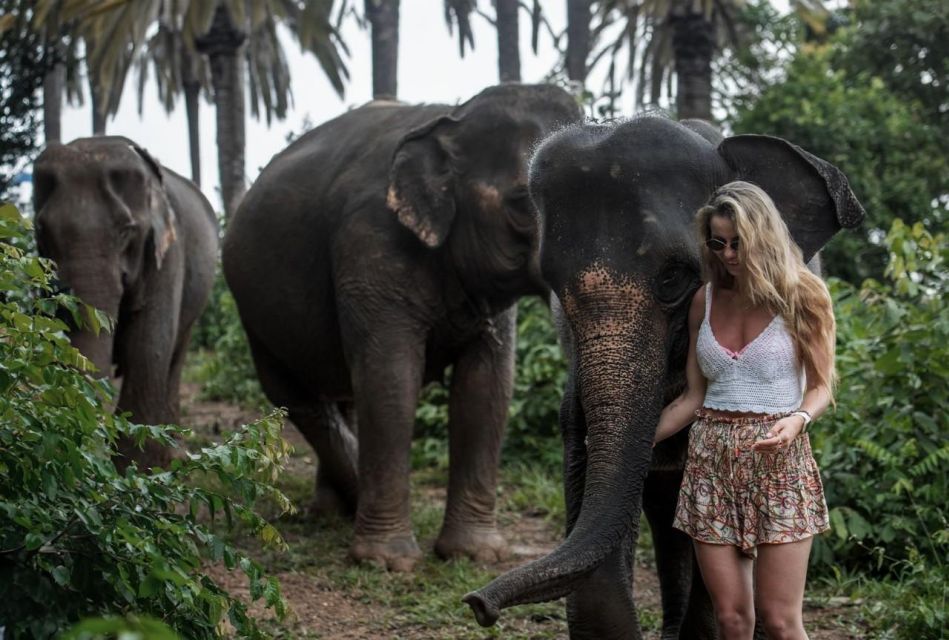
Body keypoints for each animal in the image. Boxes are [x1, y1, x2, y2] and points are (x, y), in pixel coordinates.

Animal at [33, 136, 218, 464]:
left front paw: (137, 468)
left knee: (175, 355)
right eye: (42, 231)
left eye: (125, 231)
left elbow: (148, 345)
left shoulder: (168, 255)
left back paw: (174, 452)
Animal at [224, 84, 576, 568]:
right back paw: (343, 507)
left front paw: (475, 556)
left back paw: (335, 510)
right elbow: (390, 379)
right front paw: (387, 563)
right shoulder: (369, 241)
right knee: (298, 398)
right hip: (253, 311)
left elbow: (486, 386)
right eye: (524, 203)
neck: (453, 119)